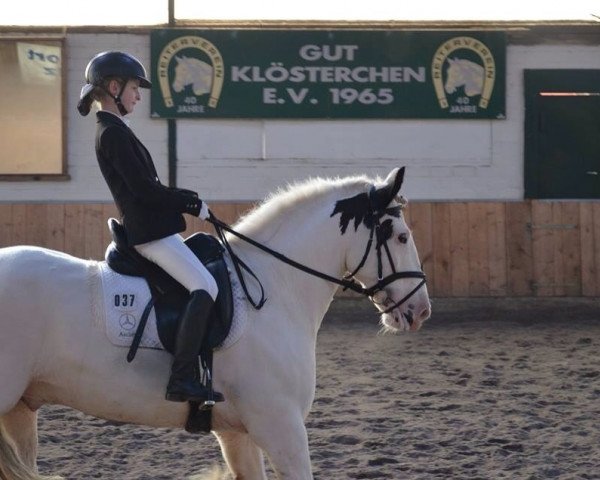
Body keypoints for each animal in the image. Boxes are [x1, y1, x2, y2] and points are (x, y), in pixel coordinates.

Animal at [0, 168, 432, 480]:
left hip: (20, 410)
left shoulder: (237, 433)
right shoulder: (281, 427)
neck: (276, 285)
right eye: (400, 236)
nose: (422, 310)